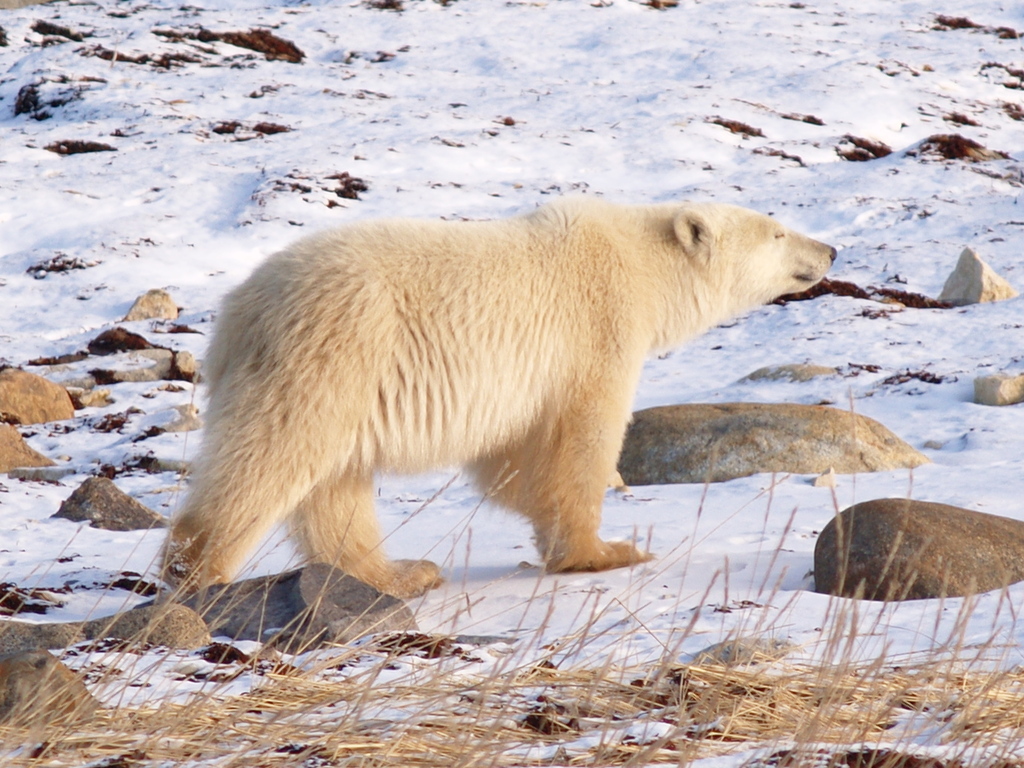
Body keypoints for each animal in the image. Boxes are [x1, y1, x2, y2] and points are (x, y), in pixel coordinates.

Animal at [159, 195, 831, 598]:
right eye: (776, 231)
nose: (829, 248)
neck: (639, 261)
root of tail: (238, 311)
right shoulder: (596, 330)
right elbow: (581, 439)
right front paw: (606, 550)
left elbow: (510, 458)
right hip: (332, 349)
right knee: (275, 455)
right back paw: (199, 571)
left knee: (334, 482)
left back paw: (399, 574)